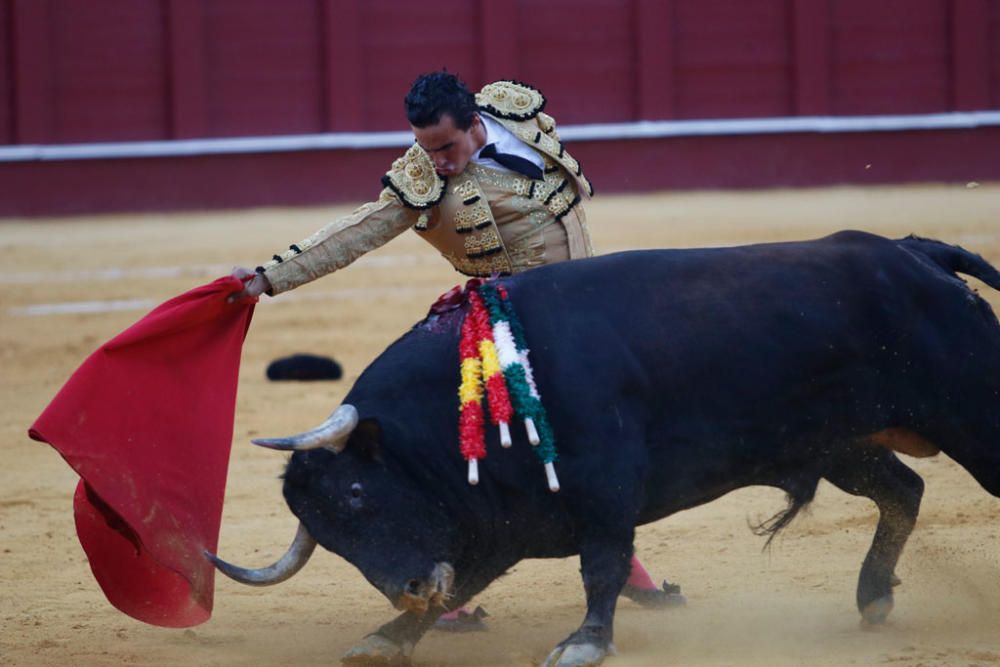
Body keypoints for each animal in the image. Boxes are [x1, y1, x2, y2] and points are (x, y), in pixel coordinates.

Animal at [207, 231, 1000, 667]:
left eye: (357, 493)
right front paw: (389, 634)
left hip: (970, 412)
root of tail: (914, 253)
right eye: (330, 537)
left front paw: (584, 641)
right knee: (904, 490)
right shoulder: (502, 521)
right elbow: (464, 583)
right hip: (844, 445)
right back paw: (872, 596)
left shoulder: (606, 487)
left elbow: (604, 565)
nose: (406, 584)